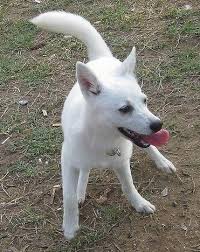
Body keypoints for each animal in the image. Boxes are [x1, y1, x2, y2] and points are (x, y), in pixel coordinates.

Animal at [30, 11, 176, 239]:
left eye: (144, 100)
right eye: (124, 109)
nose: (158, 125)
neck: (102, 139)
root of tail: (101, 58)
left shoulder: (122, 162)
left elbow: (129, 186)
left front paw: (139, 203)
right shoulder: (67, 161)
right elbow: (68, 197)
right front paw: (70, 226)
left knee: (148, 146)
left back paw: (161, 161)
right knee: (84, 170)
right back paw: (81, 189)